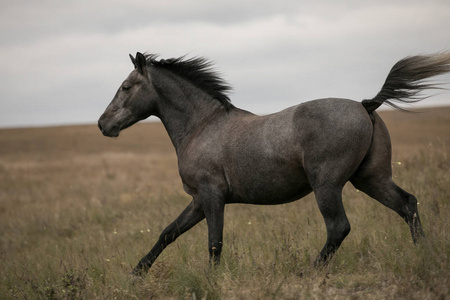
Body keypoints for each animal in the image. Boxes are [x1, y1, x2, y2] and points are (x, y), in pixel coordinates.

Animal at [98, 50, 450, 276]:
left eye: (126, 86)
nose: (103, 124)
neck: (202, 126)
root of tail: (367, 105)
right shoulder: (198, 201)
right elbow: (168, 233)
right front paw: (136, 274)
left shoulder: (211, 197)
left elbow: (214, 243)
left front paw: (212, 281)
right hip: (371, 179)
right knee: (407, 204)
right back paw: (423, 255)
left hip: (328, 185)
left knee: (339, 227)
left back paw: (310, 272)